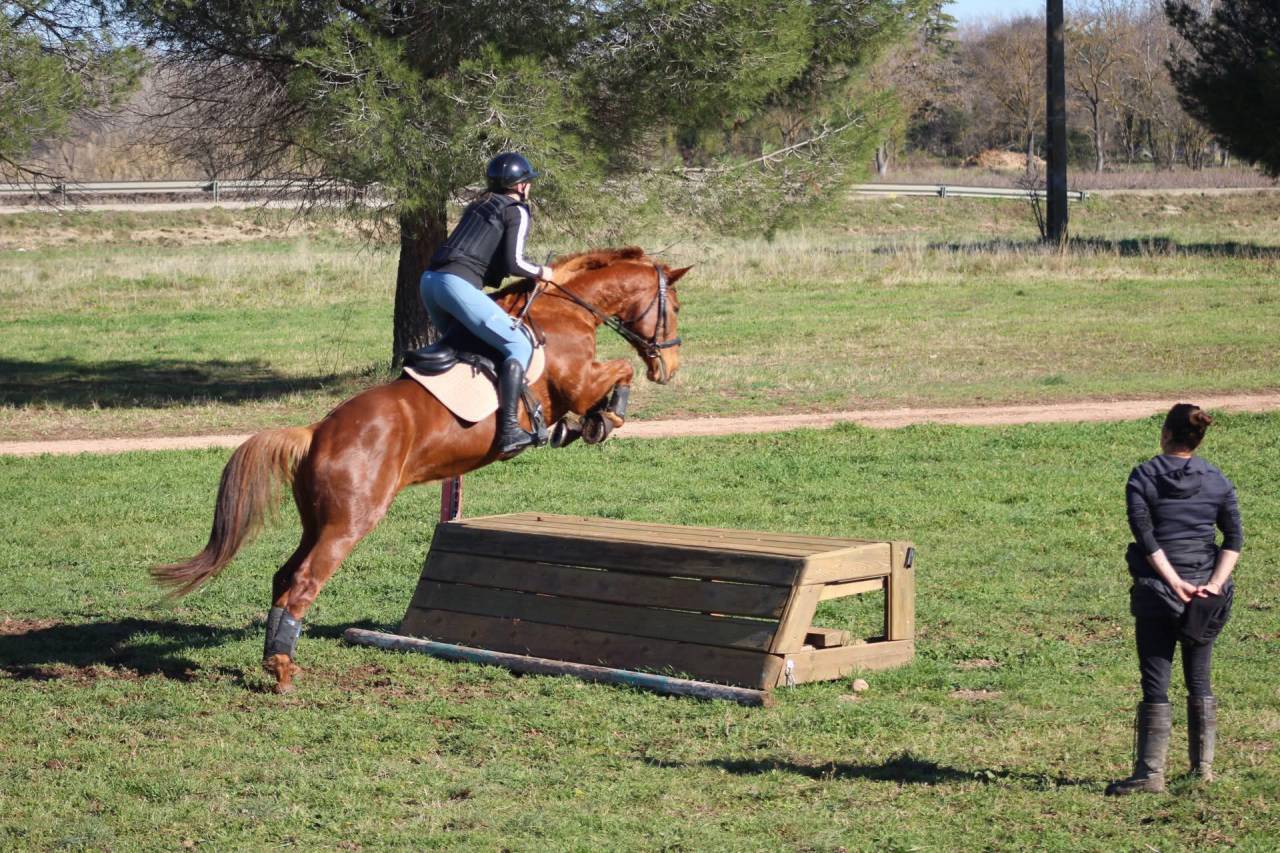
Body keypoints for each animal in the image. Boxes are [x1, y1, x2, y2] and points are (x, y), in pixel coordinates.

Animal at [153, 247, 688, 693]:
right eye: (677, 308)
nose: (671, 368)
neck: (569, 309)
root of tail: (316, 432)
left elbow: (606, 384)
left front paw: (586, 425)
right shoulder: (577, 382)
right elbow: (619, 371)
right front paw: (605, 418)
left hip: (318, 520)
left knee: (284, 576)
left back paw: (278, 660)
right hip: (351, 522)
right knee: (303, 583)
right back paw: (282, 673)